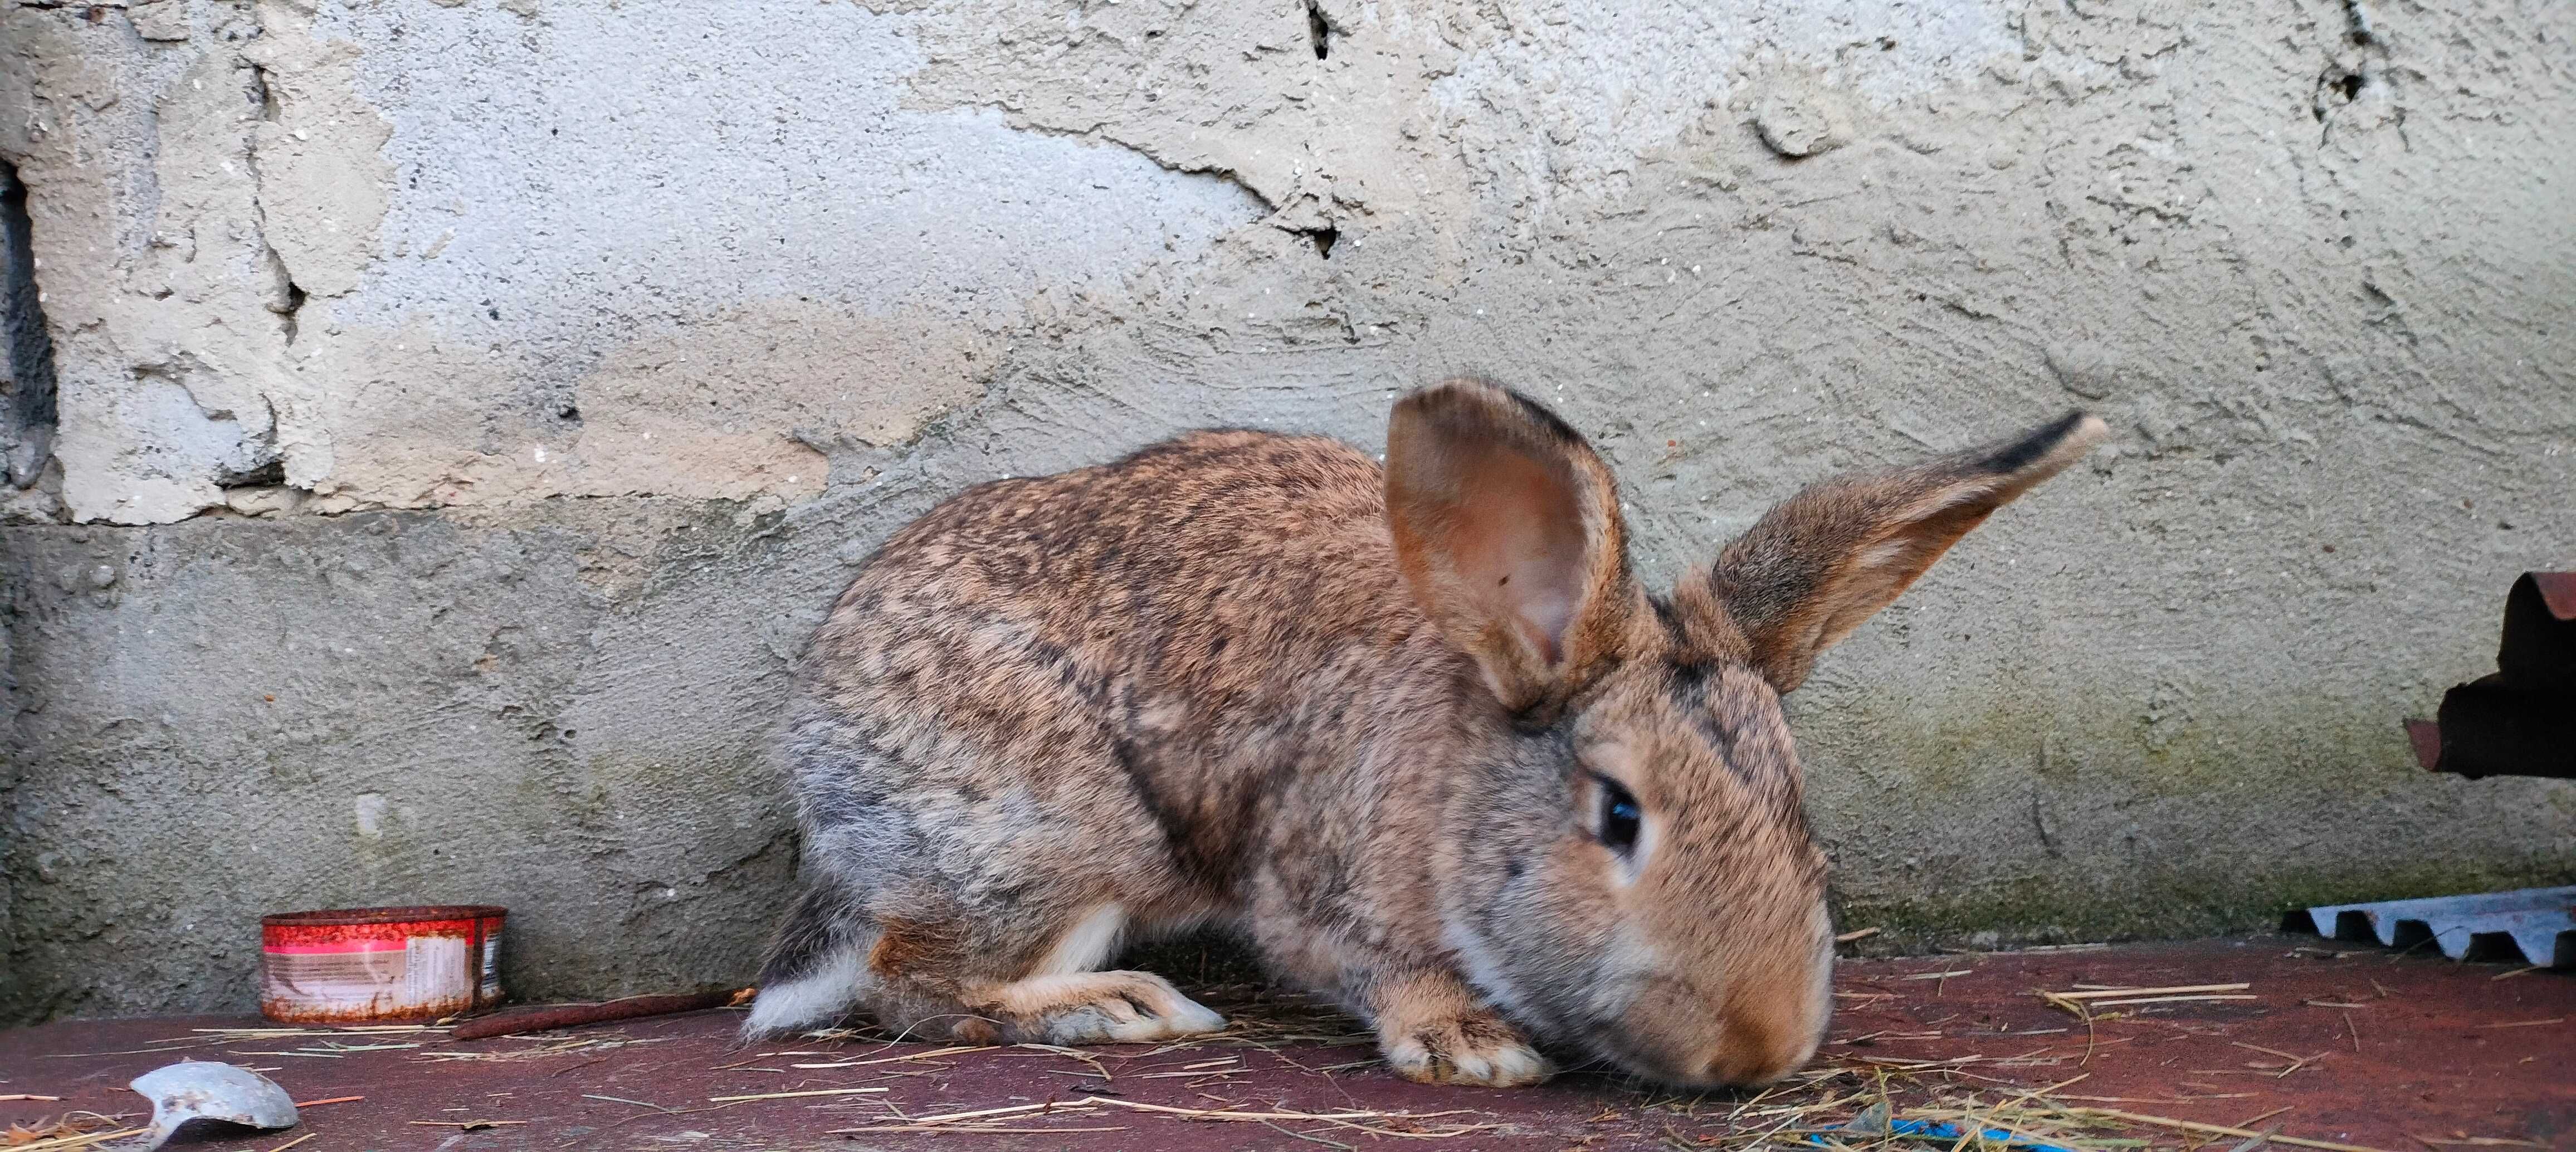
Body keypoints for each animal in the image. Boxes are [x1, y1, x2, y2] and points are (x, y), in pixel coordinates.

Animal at [747, 381, 2112, 1092]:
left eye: (1796, 809)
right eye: (1618, 815)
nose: (1758, 1043)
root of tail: (816, 727)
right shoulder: (1307, 890)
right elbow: (1373, 967)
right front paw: (1472, 1044)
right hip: (1063, 841)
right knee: (910, 977)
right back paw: (1119, 1007)